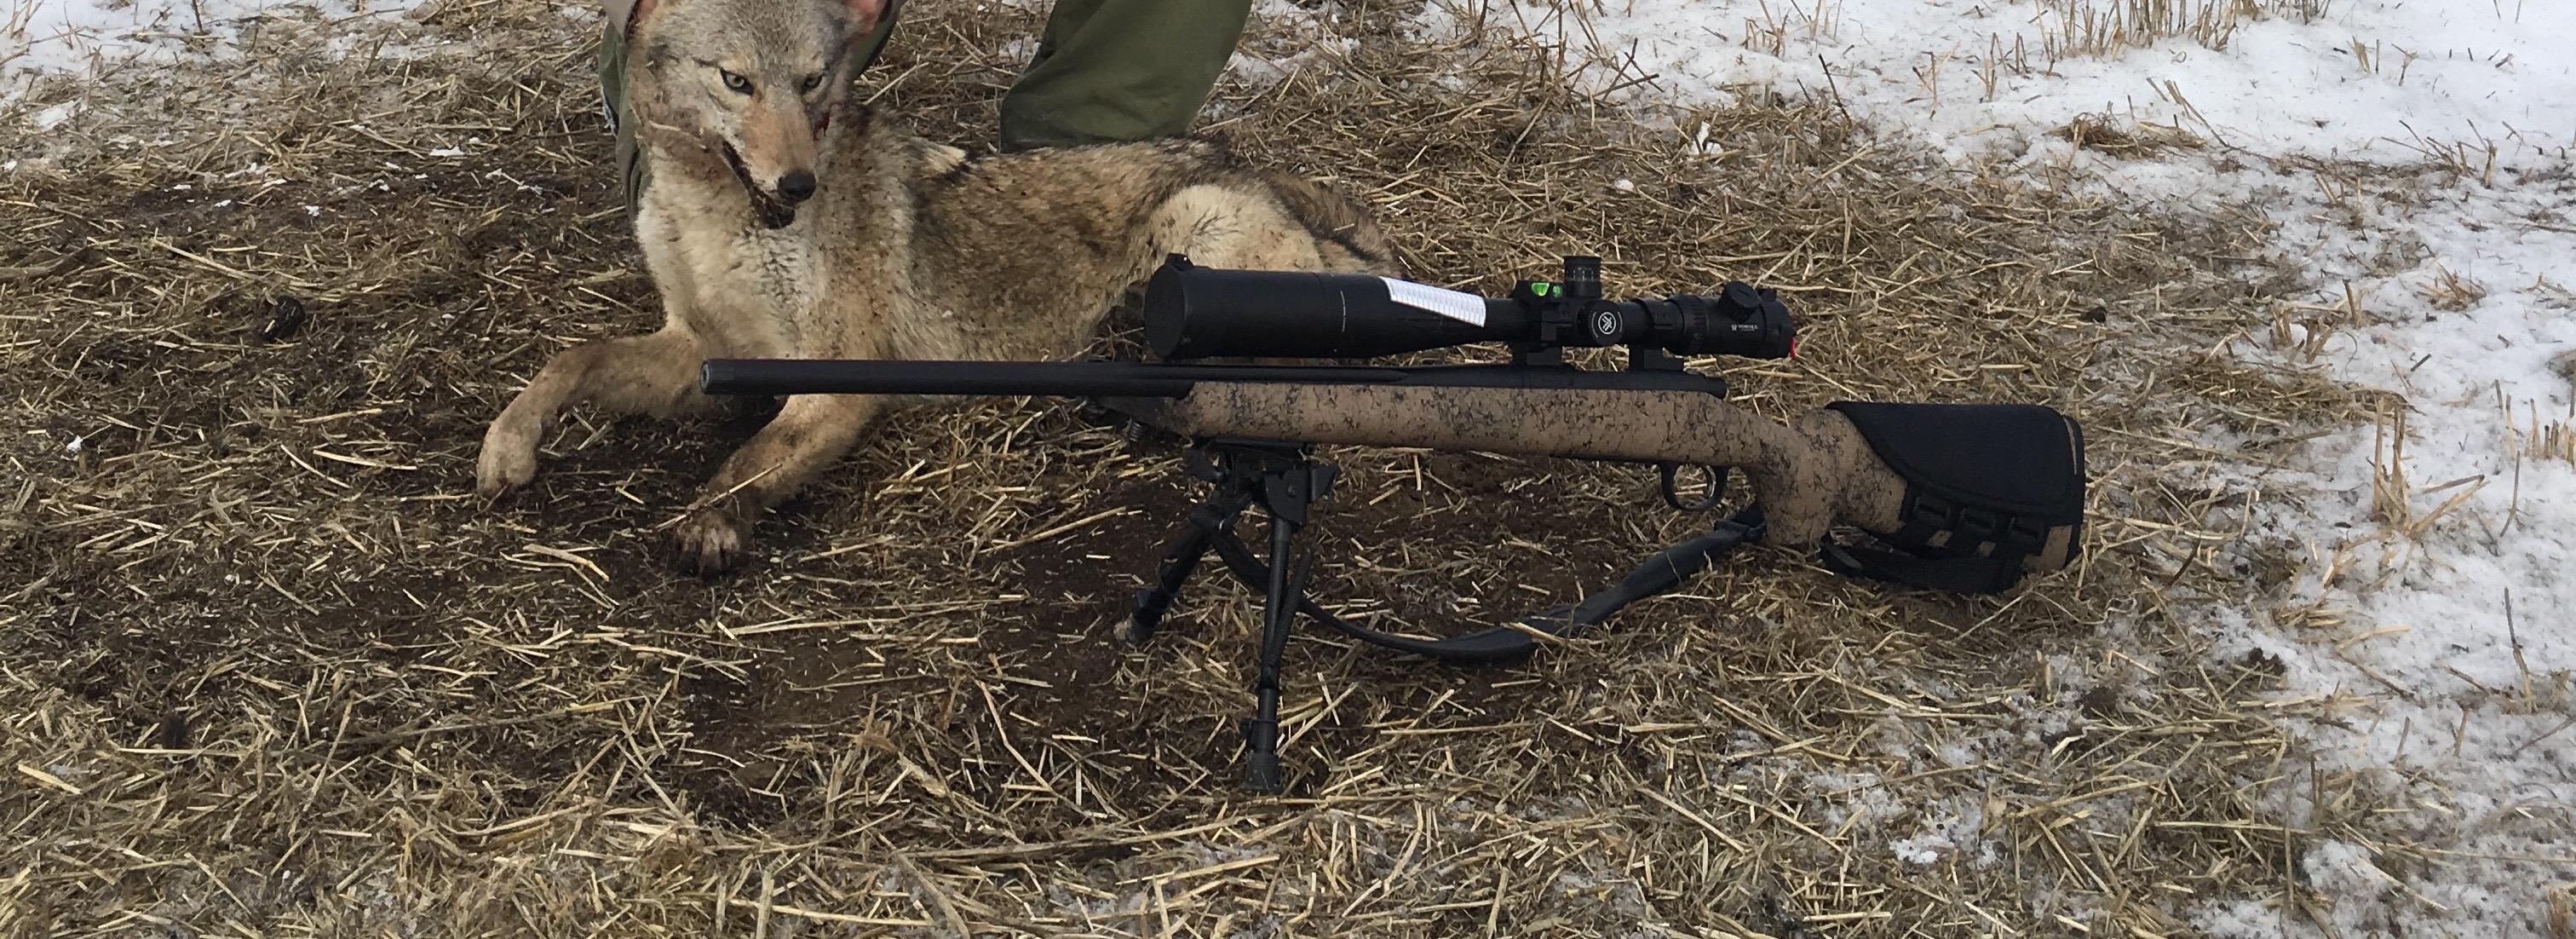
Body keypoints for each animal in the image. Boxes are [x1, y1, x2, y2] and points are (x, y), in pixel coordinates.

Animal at [473, 0, 1399, 573]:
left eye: (812, 81)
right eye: (736, 81)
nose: (800, 184)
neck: (717, 217)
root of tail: (1253, 172)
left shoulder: (832, 384)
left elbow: (749, 460)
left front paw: (710, 522)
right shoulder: (699, 354)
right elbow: (571, 360)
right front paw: (509, 444)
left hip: (1196, 235)